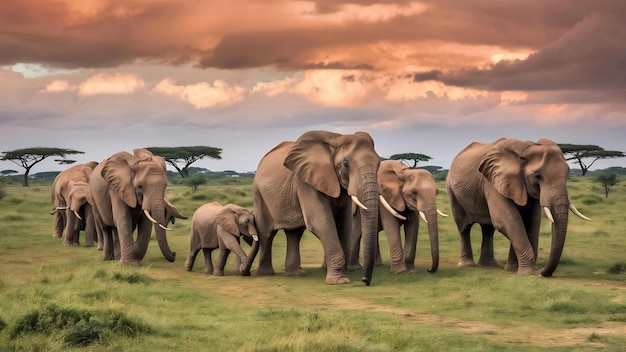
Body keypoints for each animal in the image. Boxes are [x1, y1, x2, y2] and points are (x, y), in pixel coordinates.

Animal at [241, 131, 398, 284]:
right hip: (259, 194)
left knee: (294, 233)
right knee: (266, 233)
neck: (336, 139)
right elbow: (321, 222)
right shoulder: (305, 182)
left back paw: (296, 274)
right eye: (345, 164)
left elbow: (345, 224)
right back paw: (266, 274)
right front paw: (340, 281)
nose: (365, 281)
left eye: (378, 163)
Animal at [446, 139, 588, 276]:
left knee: (488, 229)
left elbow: (532, 222)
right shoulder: (493, 182)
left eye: (567, 174)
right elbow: (508, 221)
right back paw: (467, 265)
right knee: (464, 227)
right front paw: (530, 273)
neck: (526, 148)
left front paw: (513, 269)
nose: (543, 272)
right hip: (451, 190)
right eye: (538, 176)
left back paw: (489, 265)